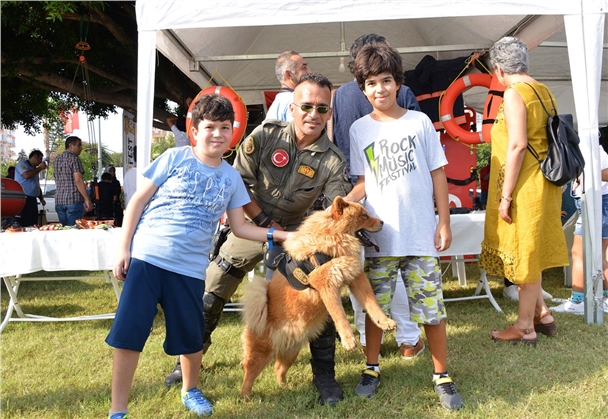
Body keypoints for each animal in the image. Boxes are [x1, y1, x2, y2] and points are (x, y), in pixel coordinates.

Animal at [242, 197, 400, 400]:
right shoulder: (327, 285)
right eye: (364, 215)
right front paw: (349, 340)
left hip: (291, 352)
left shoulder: (356, 278)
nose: (382, 222)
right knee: (249, 372)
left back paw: (285, 387)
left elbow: (373, 304)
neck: (333, 238)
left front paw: (385, 322)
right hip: (261, 351)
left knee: (278, 368)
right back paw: (246, 397)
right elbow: (339, 314)